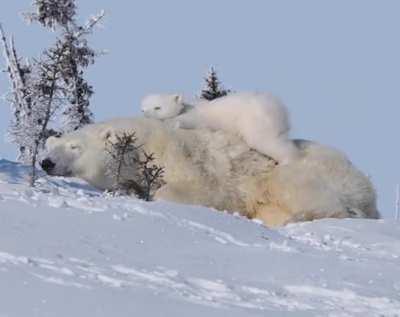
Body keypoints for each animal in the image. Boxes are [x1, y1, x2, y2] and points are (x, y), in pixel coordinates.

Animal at [42, 117, 380, 226]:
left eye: (75, 147)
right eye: (53, 146)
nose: (46, 163)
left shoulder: (184, 159)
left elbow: (203, 190)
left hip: (304, 170)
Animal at [141, 92, 300, 164]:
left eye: (157, 107)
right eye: (144, 108)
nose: (145, 114)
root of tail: (280, 110)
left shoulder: (198, 115)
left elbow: (190, 120)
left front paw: (173, 123)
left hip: (255, 122)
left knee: (265, 141)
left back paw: (287, 160)